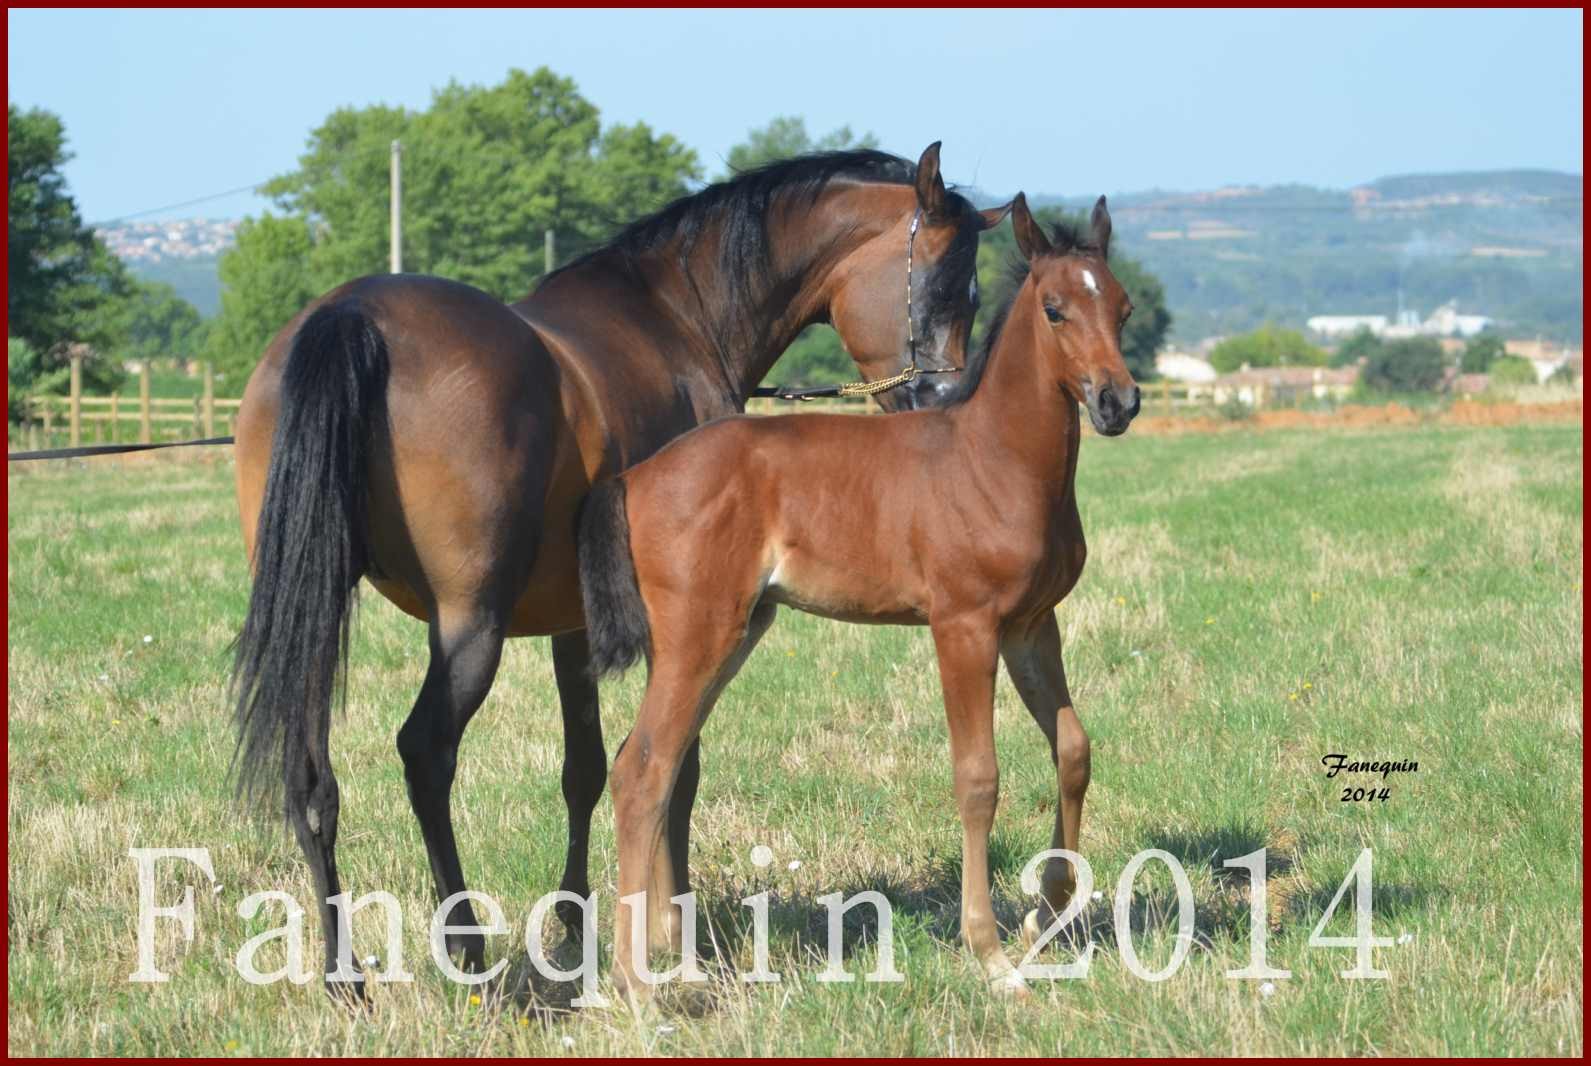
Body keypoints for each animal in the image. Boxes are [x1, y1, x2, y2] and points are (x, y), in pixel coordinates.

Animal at [579, 187, 1139, 999]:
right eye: (1056, 309)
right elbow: (978, 777)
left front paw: (1047, 910)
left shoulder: (1033, 624)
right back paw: (636, 982)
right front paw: (990, 953)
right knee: (642, 768)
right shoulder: (963, 625)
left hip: (731, 632)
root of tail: (635, 477)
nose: (1117, 401)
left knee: (661, 759)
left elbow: (1072, 749)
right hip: (698, 633)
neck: (994, 459)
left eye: (1124, 309)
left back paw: (673, 957)